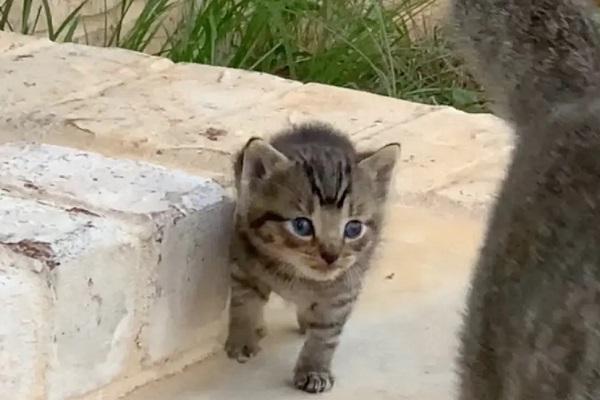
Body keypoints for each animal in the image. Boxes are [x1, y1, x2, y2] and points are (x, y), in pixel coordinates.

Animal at [227, 122, 400, 394]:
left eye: (353, 228)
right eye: (302, 226)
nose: (331, 255)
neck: (298, 275)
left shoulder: (342, 291)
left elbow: (325, 334)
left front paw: (313, 369)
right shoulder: (243, 257)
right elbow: (244, 302)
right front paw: (242, 339)